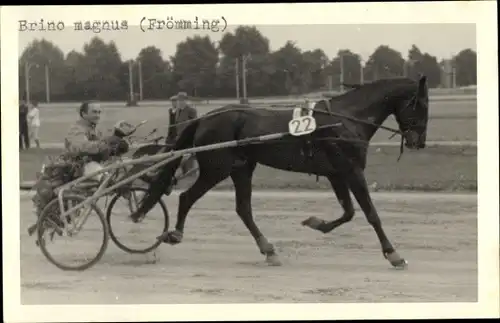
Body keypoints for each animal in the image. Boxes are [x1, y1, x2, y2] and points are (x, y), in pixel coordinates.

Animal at [130, 76, 430, 268]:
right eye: (420, 104)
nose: (419, 142)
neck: (344, 121)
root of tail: (206, 117)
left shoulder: (337, 173)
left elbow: (348, 212)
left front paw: (316, 223)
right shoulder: (352, 170)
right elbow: (370, 214)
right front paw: (393, 254)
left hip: (241, 168)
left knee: (243, 209)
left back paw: (268, 249)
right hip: (217, 168)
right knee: (187, 198)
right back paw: (176, 234)